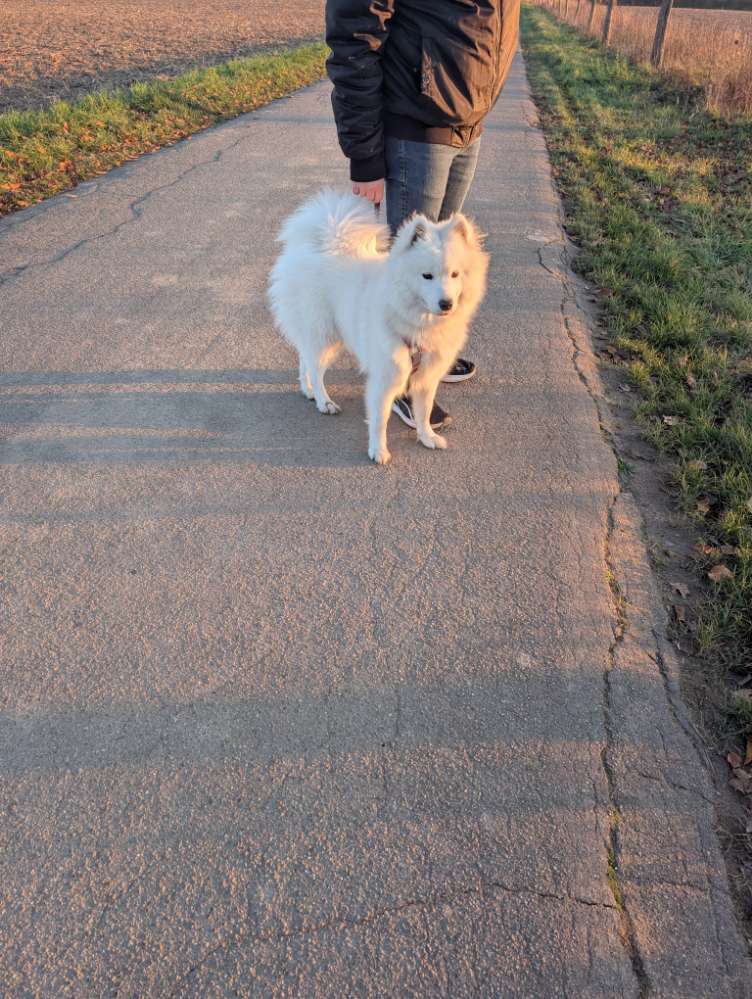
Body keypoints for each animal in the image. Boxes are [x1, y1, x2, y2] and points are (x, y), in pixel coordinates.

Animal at [268, 190, 488, 464]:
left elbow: (424, 410)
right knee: (316, 368)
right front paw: (378, 450)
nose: (446, 303)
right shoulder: (385, 377)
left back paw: (307, 390)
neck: (417, 323)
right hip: (324, 335)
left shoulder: (427, 375)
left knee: (304, 358)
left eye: (455, 274)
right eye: (427, 276)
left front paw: (426, 437)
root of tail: (320, 243)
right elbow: (380, 419)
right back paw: (323, 400)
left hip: (323, 335)